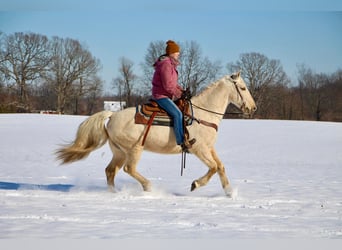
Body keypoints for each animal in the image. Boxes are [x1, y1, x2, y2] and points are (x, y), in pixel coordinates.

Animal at [55, 72, 256, 197]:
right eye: (243, 88)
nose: (253, 108)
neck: (203, 114)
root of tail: (112, 115)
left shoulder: (209, 148)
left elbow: (220, 167)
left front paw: (229, 193)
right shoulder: (198, 148)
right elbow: (213, 167)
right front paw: (195, 184)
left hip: (119, 152)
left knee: (110, 170)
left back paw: (114, 193)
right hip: (134, 149)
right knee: (129, 169)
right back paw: (148, 186)